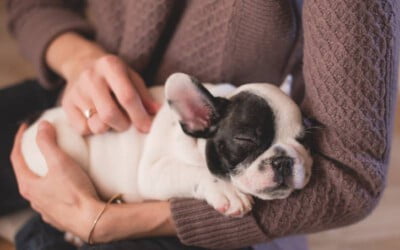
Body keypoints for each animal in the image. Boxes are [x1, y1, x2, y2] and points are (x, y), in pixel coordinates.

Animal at [17, 72, 312, 215]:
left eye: (304, 139)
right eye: (246, 139)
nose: (283, 160)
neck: (193, 142)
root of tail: (37, 117)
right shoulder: (154, 172)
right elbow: (195, 171)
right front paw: (228, 191)